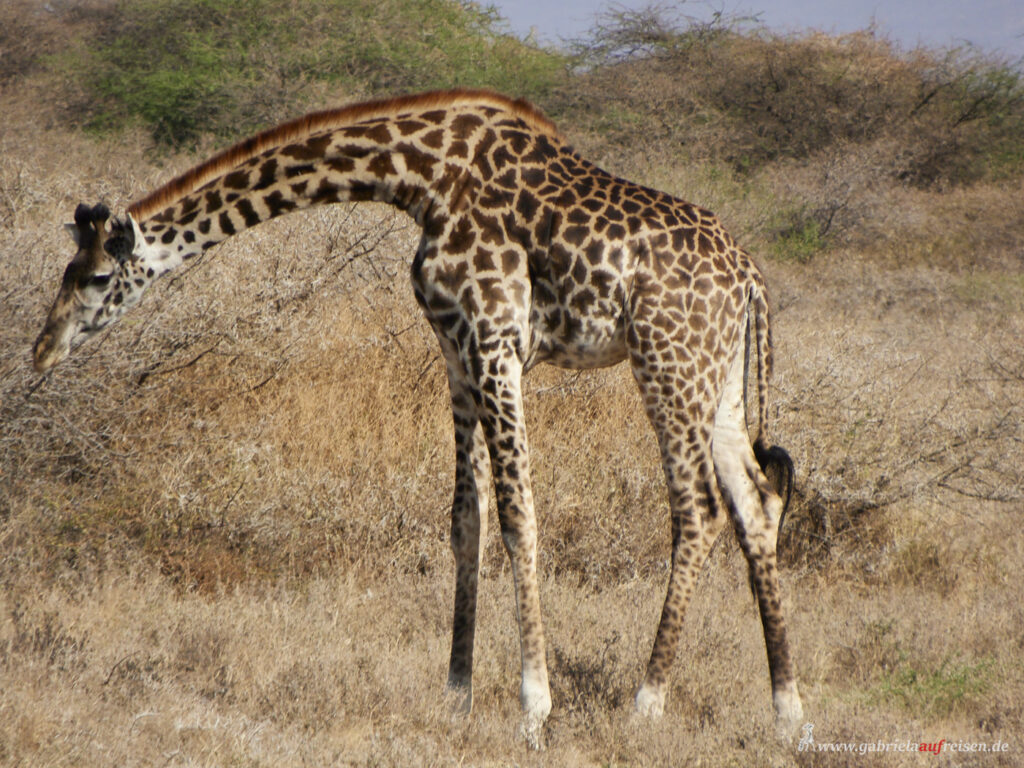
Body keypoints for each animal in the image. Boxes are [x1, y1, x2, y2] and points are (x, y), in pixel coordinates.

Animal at [29, 88, 798, 745]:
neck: (422, 179)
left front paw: (533, 709)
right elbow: (467, 518)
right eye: (67, 270)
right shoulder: (456, 348)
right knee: (757, 502)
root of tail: (750, 277)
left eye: (96, 276)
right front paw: (456, 696)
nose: (42, 350)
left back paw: (647, 703)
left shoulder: (495, 341)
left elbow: (519, 516)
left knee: (699, 509)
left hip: (667, 363)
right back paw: (788, 712)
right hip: (719, 384)